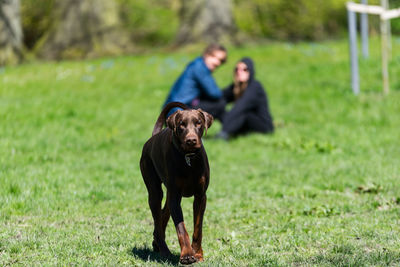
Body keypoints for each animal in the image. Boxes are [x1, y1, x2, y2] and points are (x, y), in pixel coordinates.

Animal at [141, 101, 214, 264]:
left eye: (198, 122)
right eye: (181, 124)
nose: (191, 140)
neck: (189, 160)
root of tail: (152, 138)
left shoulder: (201, 196)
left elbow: (198, 228)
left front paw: (198, 253)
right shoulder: (175, 196)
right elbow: (181, 227)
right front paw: (187, 254)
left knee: (163, 214)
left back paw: (156, 243)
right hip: (154, 189)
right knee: (157, 216)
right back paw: (164, 250)